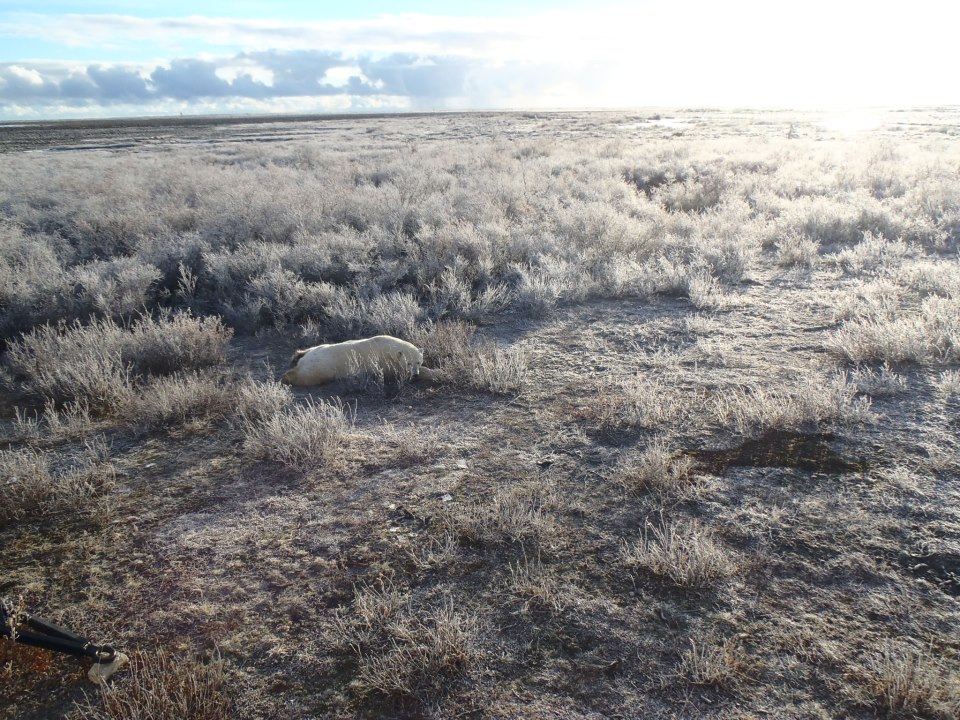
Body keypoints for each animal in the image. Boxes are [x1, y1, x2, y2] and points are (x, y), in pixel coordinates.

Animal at [281, 335, 426, 386]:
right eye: (409, 363)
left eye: (418, 362)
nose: (415, 374)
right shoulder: (385, 362)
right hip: (322, 368)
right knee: (305, 376)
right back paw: (285, 378)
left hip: (318, 349)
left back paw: (297, 355)